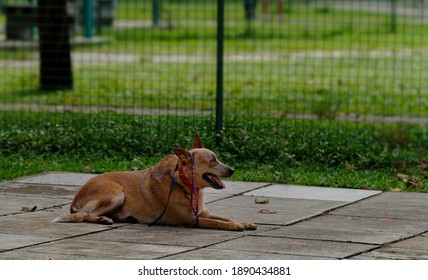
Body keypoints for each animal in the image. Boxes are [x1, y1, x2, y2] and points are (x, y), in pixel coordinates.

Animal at [55, 135, 260, 231]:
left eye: (218, 158)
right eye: (212, 160)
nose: (232, 170)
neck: (182, 184)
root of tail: (76, 198)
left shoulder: (203, 212)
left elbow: (224, 217)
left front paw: (243, 222)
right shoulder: (191, 219)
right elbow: (218, 223)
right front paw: (235, 226)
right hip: (117, 194)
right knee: (85, 215)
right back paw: (102, 219)